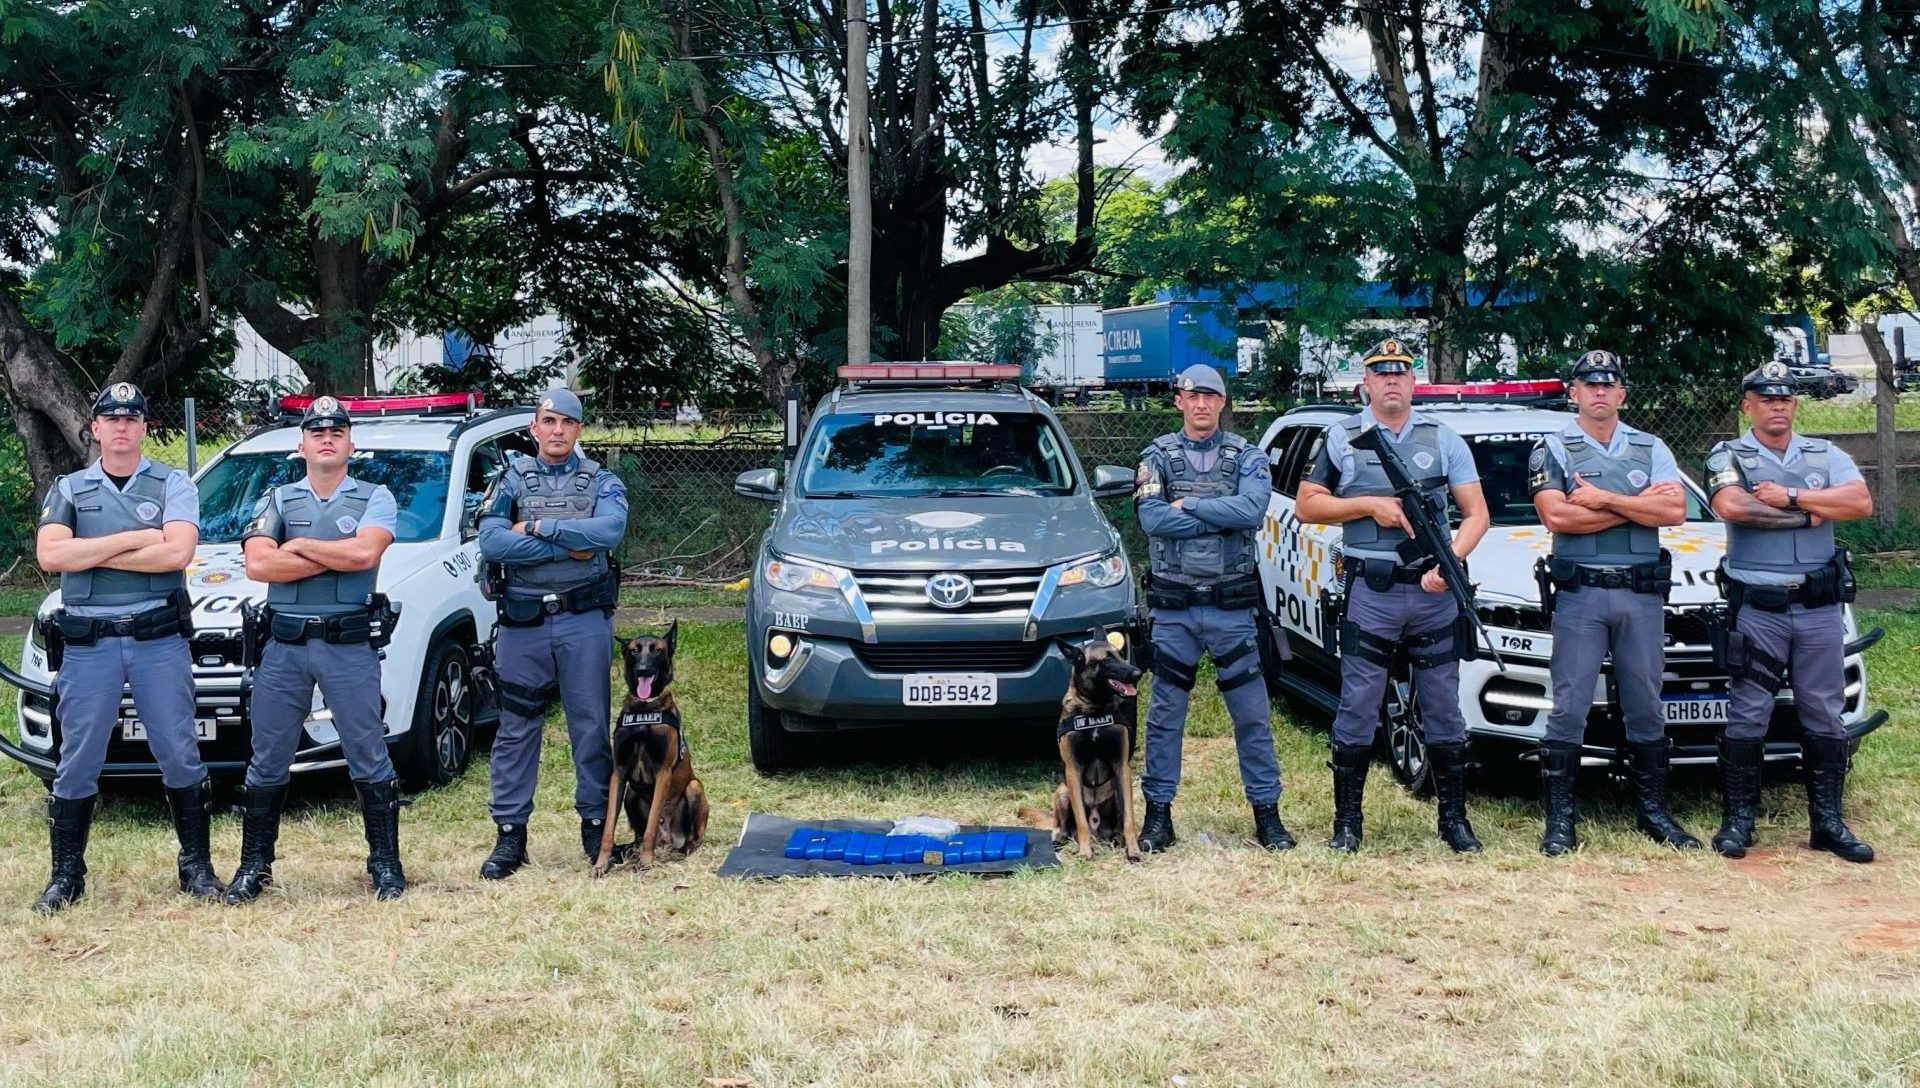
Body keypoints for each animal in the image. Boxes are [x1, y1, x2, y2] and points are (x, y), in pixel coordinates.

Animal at [591, 621, 714, 878]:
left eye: (657, 650)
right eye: (633, 651)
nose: (643, 670)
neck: (644, 710)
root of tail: (668, 840)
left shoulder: (663, 773)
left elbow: (650, 828)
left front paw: (646, 862)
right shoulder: (619, 773)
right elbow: (608, 829)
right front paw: (601, 863)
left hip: (694, 787)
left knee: (693, 838)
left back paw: (681, 850)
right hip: (631, 794)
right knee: (640, 834)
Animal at [1052, 633, 1136, 863]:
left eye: (1120, 654)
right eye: (1106, 660)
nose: (1137, 673)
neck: (1095, 710)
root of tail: (1098, 828)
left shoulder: (1121, 767)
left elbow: (1129, 818)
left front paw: (1134, 850)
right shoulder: (1073, 770)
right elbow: (1081, 820)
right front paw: (1085, 851)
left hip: (1116, 792)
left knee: (1118, 823)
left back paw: (1118, 838)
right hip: (1062, 791)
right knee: (1064, 827)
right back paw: (1060, 838)